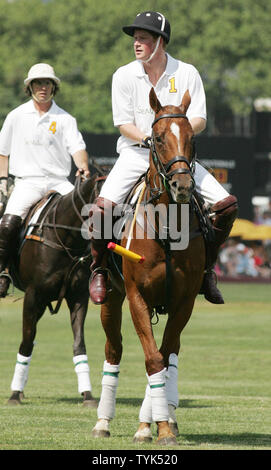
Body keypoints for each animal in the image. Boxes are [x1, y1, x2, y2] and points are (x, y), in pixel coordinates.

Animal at [6, 171, 103, 406]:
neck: (67, 239)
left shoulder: (78, 297)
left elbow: (79, 344)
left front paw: (88, 395)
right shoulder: (32, 295)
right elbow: (26, 341)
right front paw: (14, 395)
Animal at [91, 90, 206, 446]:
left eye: (192, 138)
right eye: (157, 138)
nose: (183, 186)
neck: (167, 226)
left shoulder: (185, 302)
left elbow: (163, 358)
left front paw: (161, 425)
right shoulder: (136, 296)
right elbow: (153, 357)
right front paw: (158, 428)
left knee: (169, 353)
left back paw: (154, 419)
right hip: (112, 299)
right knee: (113, 350)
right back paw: (103, 422)